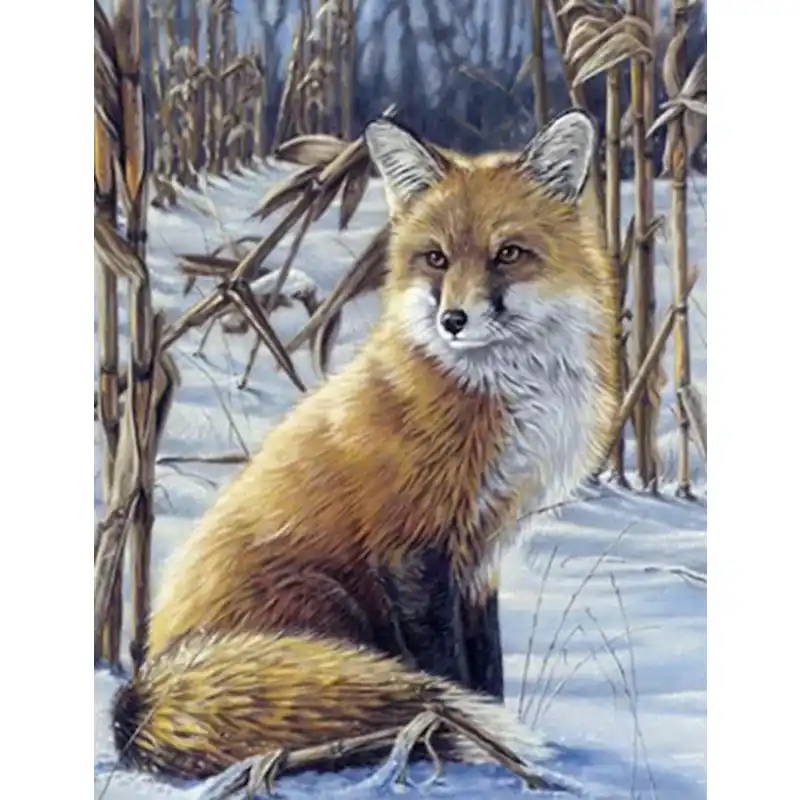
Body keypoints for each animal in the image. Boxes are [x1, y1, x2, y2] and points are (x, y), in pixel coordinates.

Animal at [111, 108, 618, 782]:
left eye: (508, 254)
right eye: (435, 258)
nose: (453, 320)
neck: (496, 392)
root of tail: (141, 693)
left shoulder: (481, 556)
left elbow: (487, 671)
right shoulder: (412, 549)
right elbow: (448, 670)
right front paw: (480, 748)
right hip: (328, 602)